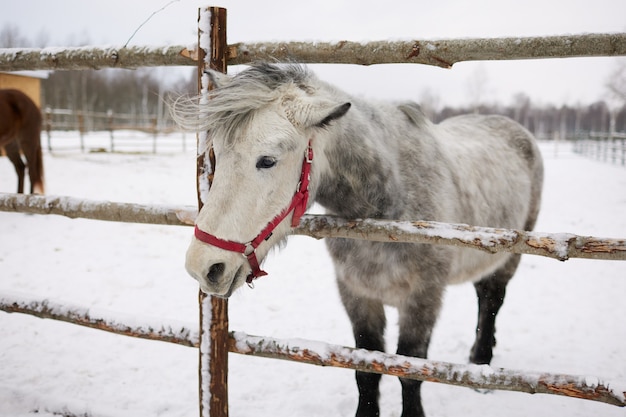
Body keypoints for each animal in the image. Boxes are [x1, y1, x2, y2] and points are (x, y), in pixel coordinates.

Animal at [171, 62, 540, 416]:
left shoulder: (423, 299)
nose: (204, 266)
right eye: (217, 154)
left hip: (510, 258)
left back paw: (481, 364)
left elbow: (410, 373)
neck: (387, 208)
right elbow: (366, 369)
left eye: (267, 161)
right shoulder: (357, 295)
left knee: (491, 301)